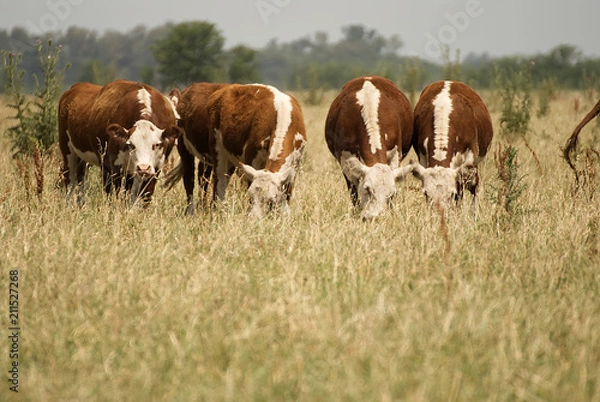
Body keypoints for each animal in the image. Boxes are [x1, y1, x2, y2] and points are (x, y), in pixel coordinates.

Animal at [163, 82, 229, 217]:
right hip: (184, 149)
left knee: (202, 179)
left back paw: (202, 206)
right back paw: (191, 211)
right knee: (190, 179)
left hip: (205, 157)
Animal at [209, 83, 308, 218]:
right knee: (220, 182)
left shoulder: (296, 162)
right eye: (251, 197)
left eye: (270, 200)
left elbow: (288, 190)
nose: (253, 218)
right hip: (218, 151)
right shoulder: (252, 158)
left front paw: (285, 213)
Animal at [326, 75, 414, 220]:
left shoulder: (396, 153)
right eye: (367, 189)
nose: (376, 217)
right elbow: (354, 193)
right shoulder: (345, 159)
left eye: (392, 193)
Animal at [410, 79, 494, 210]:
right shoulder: (423, 158)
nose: (439, 212)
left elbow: (462, 190)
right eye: (426, 193)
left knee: (474, 187)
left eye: (450, 193)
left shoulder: (469, 159)